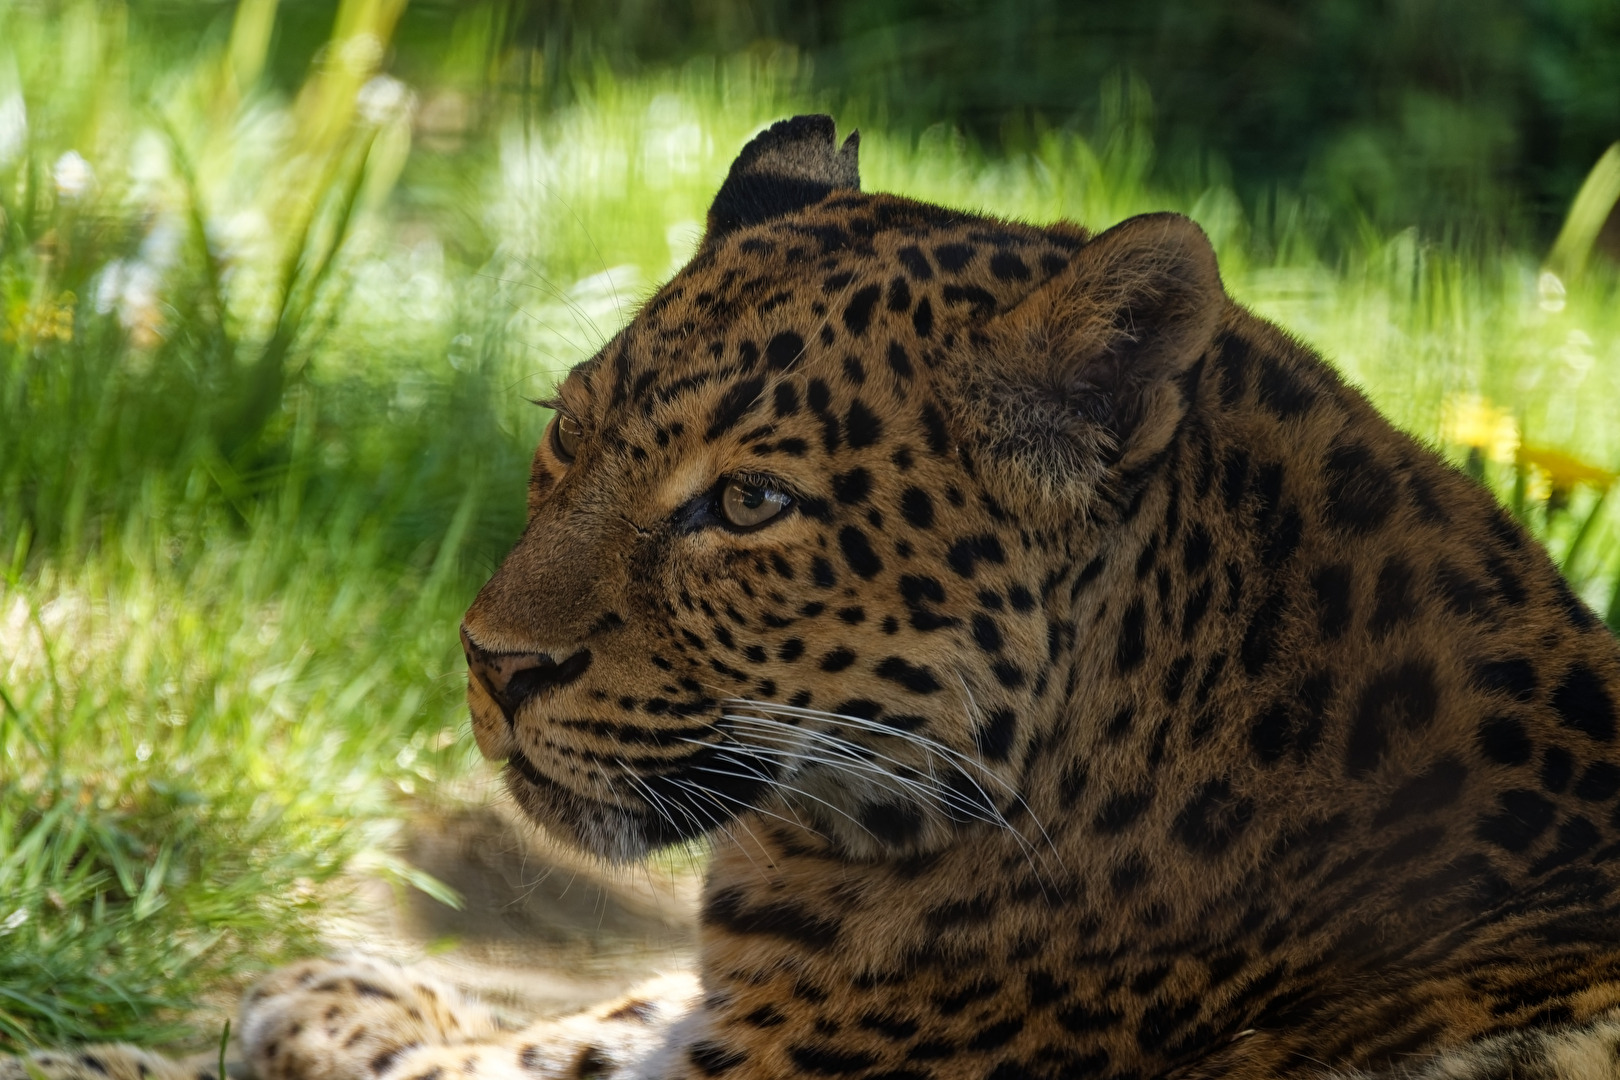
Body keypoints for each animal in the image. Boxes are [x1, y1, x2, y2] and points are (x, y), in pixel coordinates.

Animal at [10, 113, 1620, 1080]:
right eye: (565, 431)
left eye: (751, 506)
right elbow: (597, 1017)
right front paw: (345, 994)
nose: (491, 661)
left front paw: (326, 1009)